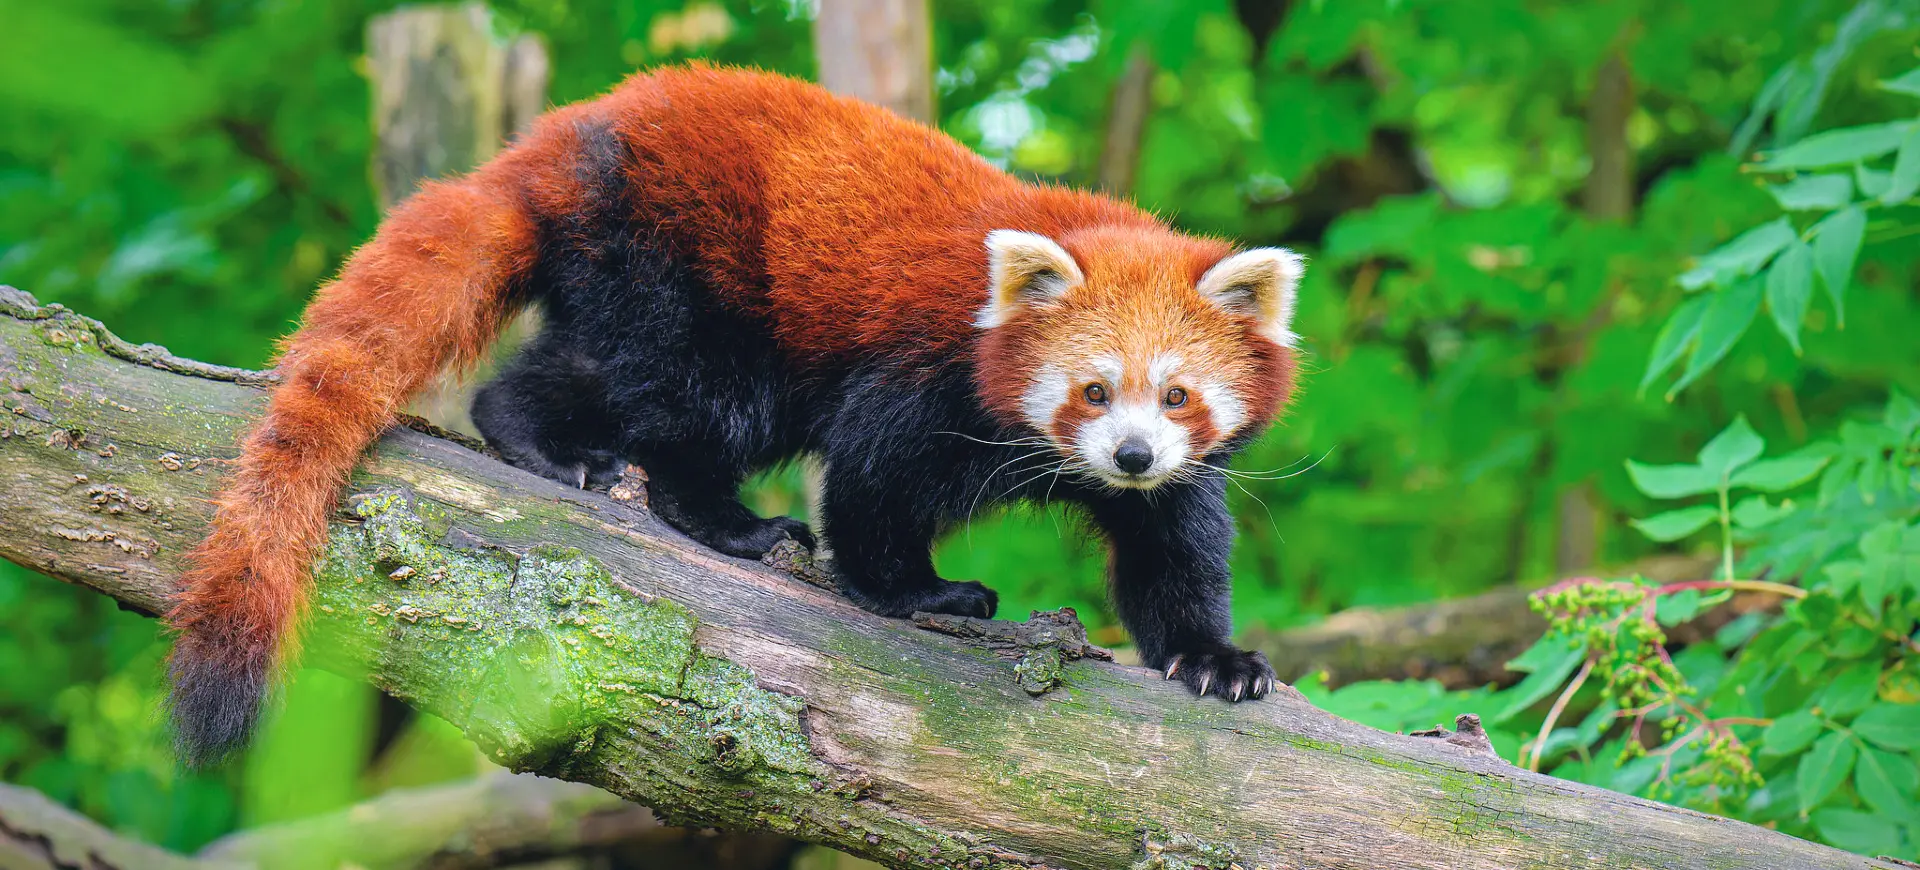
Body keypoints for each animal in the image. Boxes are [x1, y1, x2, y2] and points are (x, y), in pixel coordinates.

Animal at [168, 64, 1305, 764]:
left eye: (1175, 396)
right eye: (1094, 389)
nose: (1130, 453)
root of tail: (565, 139)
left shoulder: (1171, 476)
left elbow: (1172, 548)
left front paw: (1212, 659)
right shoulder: (923, 371)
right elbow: (871, 486)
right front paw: (918, 594)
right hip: (693, 271)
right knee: (679, 410)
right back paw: (696, 509)